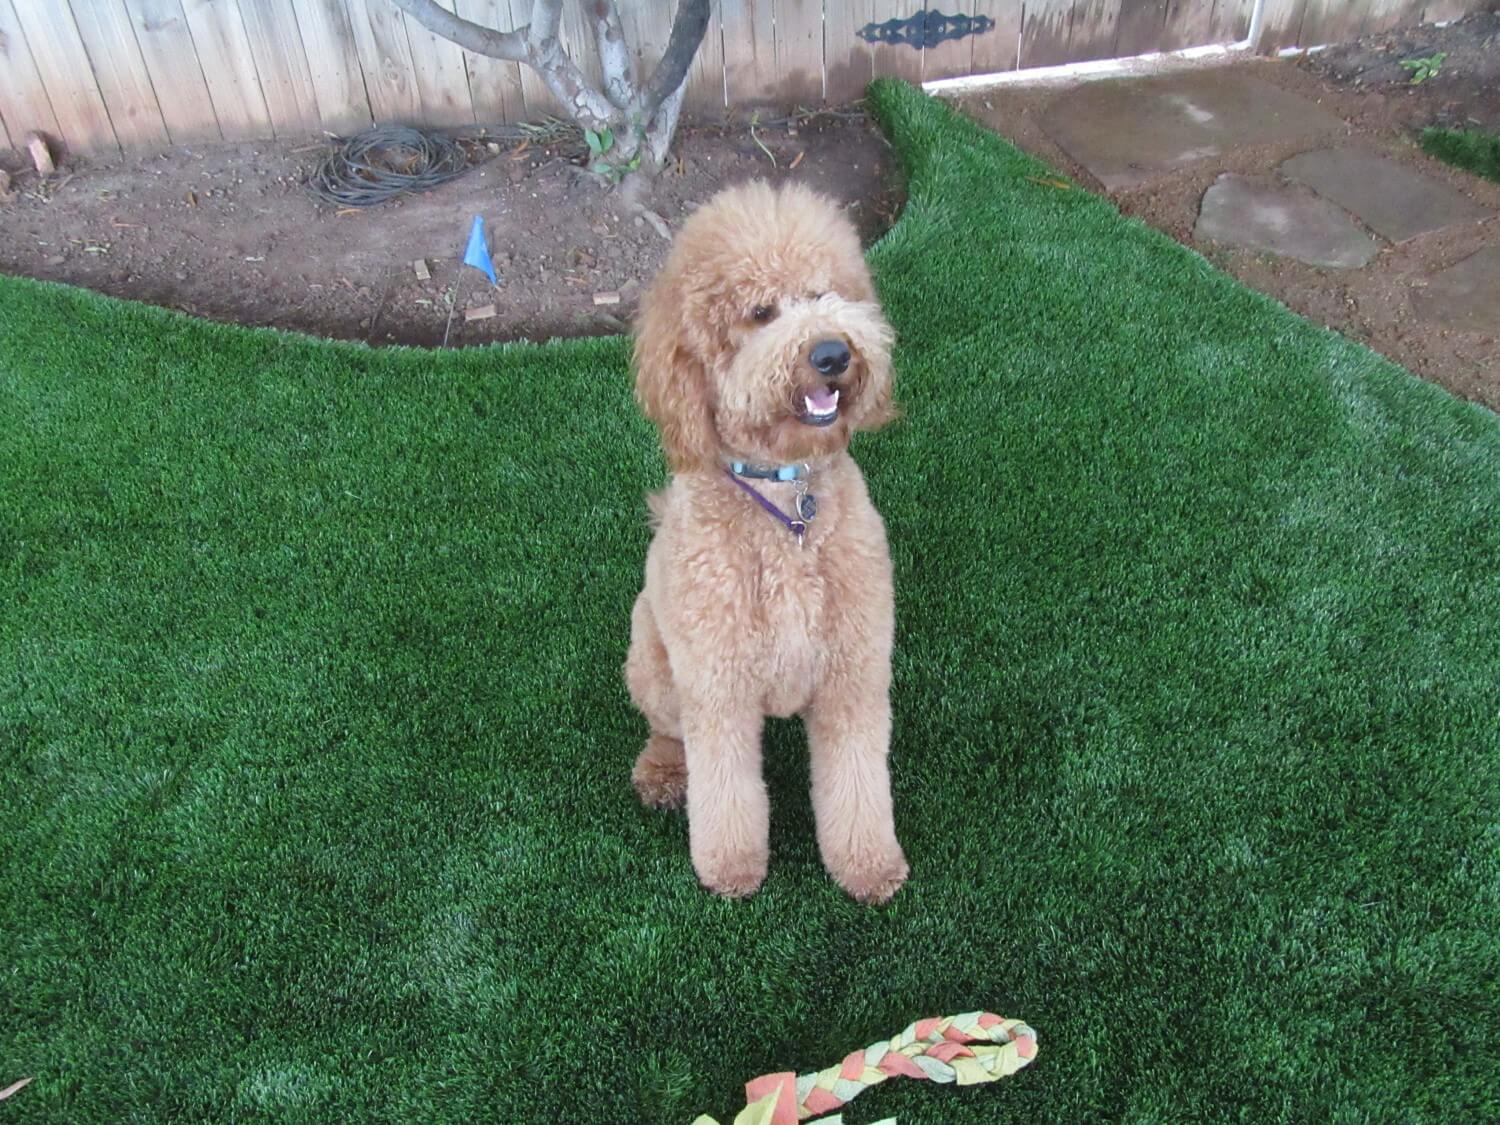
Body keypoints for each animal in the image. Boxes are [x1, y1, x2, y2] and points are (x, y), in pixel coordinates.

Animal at [618, 185, 900, 906]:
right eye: (761, 312)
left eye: (825, 293)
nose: (832, 353)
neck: (784, 501)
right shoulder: (718, 686)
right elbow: (725, 789)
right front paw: (731, 869)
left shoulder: (853, 671)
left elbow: (858, 779)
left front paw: (868, 865)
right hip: (654, 661)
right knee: (666, 728)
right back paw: (661, 771)